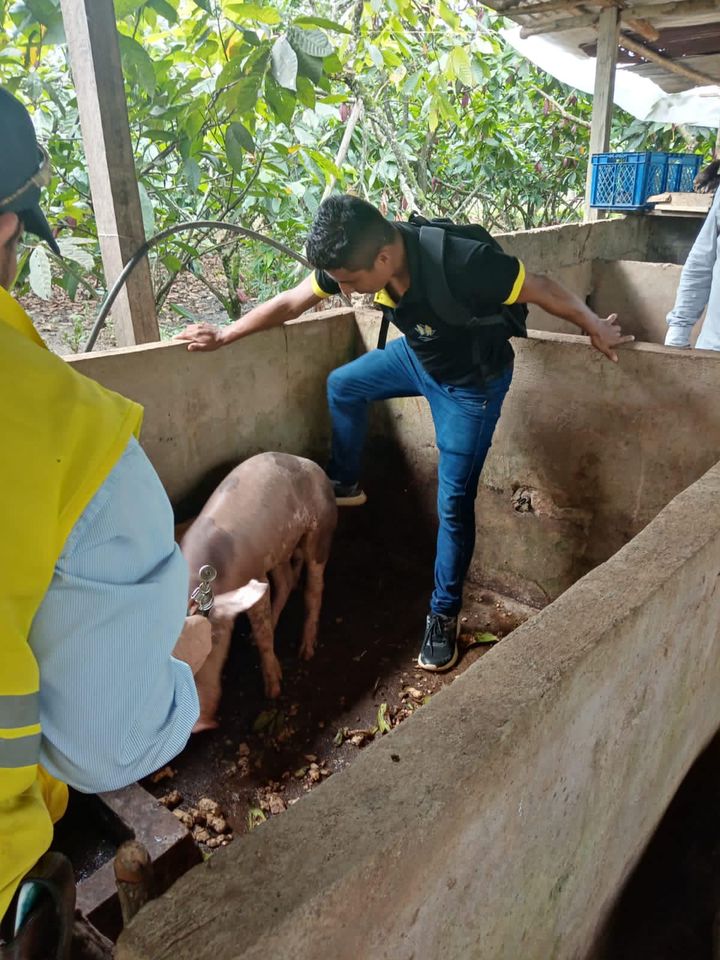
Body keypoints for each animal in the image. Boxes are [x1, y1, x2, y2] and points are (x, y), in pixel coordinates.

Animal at [180, 452, 338, 732]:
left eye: (214, 642)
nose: (200, 726)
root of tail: (311, 465)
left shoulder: (254, 577)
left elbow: (263, 631)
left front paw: (273, 691)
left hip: (320, 529)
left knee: (314, 588)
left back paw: (306, 651)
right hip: (278, 548)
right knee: (286, 581)